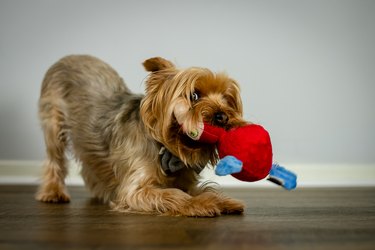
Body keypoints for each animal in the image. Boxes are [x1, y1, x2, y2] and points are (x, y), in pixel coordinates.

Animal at [35, 55, 247, 217]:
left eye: (227, 99)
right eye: (194, 95)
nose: (222, 116)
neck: (168, 150)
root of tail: (69, 57)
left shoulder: (186, 181)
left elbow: (204, 188)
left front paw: (223, 201)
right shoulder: (135, 191)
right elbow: (174, 195)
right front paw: (200, 204)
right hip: (53, 122)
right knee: (54, 158)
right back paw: (53, 192)